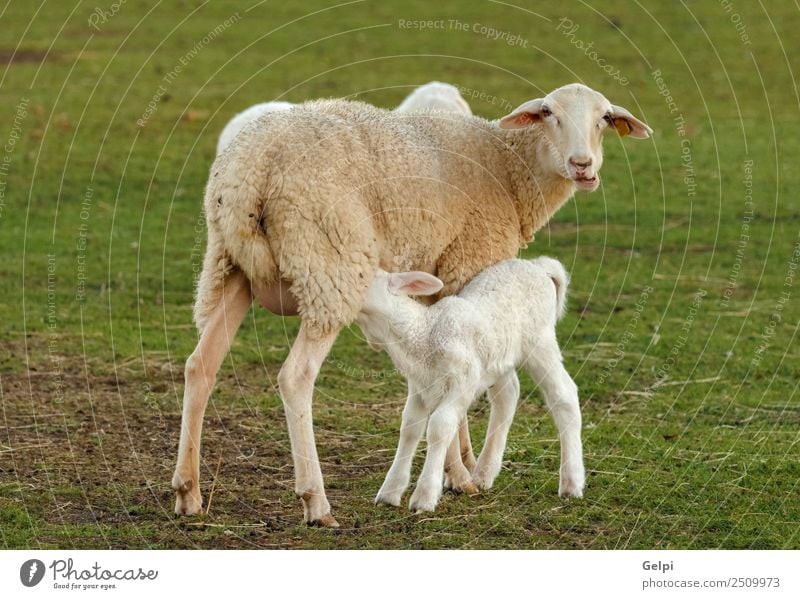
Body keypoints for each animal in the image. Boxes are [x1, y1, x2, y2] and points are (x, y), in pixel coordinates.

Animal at [356, 255, 580, 512]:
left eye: (362, 276)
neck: (423, 332)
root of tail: (538, 266)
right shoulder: (420, 387)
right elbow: (410, 427)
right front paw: (390, 492)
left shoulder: (463, 379)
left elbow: (439, 426)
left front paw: (424, 496)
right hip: (499, 355)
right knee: (508, 394)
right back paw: (484, 473)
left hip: (539, 340)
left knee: (564, 394)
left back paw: (571, 483)